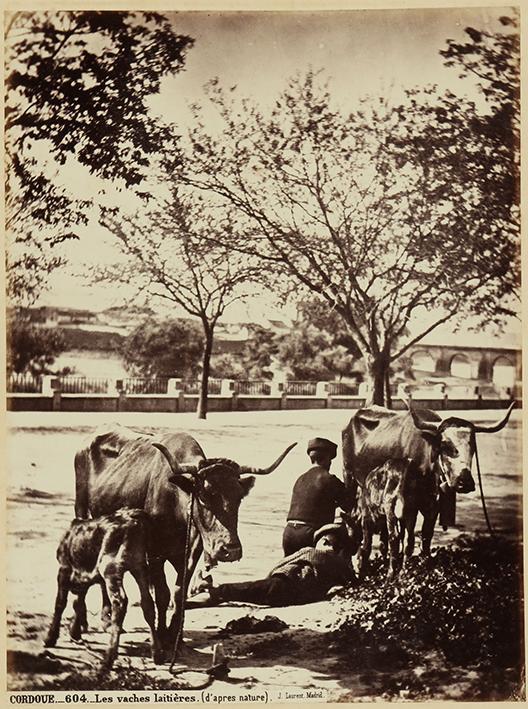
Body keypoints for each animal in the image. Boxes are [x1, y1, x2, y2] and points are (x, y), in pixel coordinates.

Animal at [44, 508, 162, 668]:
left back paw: (108, 657)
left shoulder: (64, 569)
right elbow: (78, 602)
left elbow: (60, 603)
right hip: (139, 567)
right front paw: (74, 632)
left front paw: (50, 638)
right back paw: (157, 654)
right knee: (147, 603)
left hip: (110, 568)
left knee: (120, 602)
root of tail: (133, 517)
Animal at [73, 426, 296, 652]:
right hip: (81, 509)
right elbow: (162, 594)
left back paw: (106, 618)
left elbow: (180, 593)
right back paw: (88, 623)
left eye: (239, 497)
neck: (177, 504)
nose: (230, 549)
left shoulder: (191, 554)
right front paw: (162, 635)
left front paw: (175, 637)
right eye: (204, 495)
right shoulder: (155, 554)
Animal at [342, 404, 516, 560]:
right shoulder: (408, 505)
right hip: (349, 477)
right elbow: (407, 538)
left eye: (472, 446)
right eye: (445, 445)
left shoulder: (433, 505)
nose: (465, 481)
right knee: (353, 515)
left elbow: (426, 536)